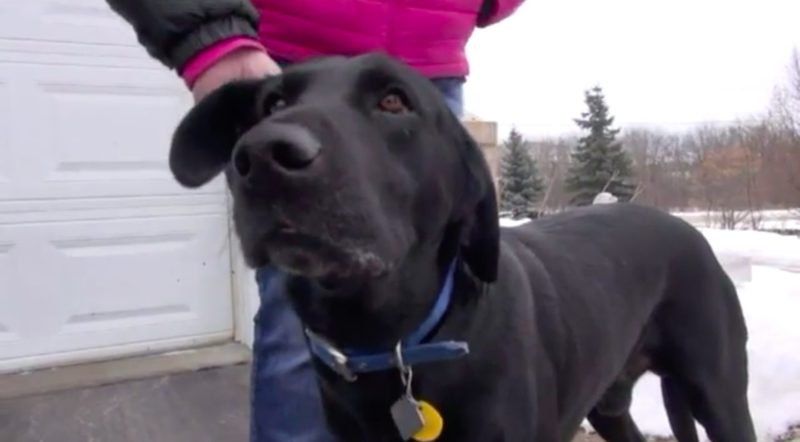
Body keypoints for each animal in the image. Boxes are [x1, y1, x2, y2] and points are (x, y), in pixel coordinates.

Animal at [169, 53, 756, 440]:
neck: (388, 340)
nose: (263, 154)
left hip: (719, 391)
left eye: (393, 101)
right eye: (272, 103)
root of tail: (681, 225)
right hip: (610, 405)